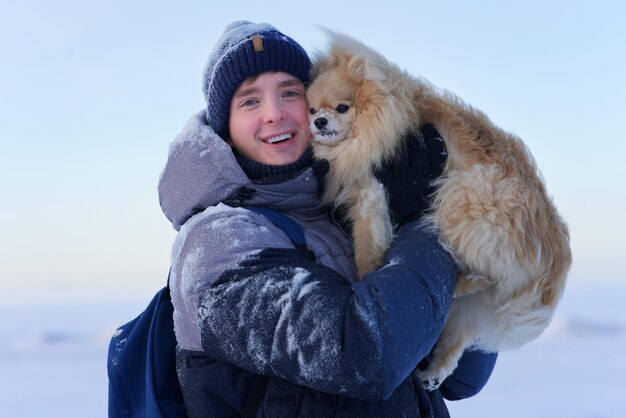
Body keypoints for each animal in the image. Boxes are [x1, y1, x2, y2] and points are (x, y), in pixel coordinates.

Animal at [306, 31, 572, 388]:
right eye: (310, 109)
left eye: (342, 108)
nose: (319, 121)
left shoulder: (372, 192)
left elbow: (367, 246)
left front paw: (368, 273)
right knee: (460, 332)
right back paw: (434, 372)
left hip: (460, 200)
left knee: (484, 276)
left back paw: (458, 285)